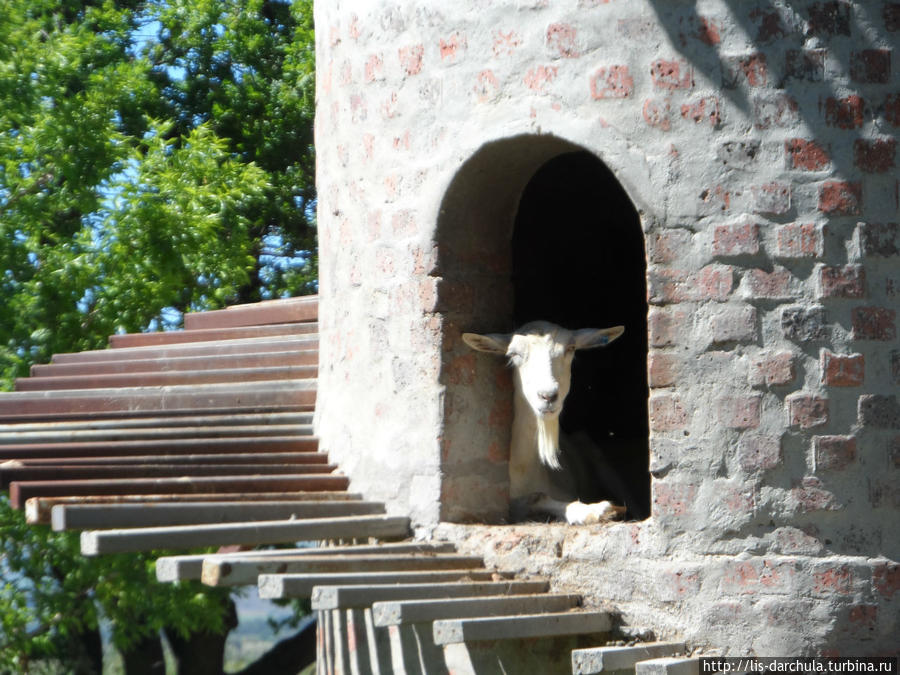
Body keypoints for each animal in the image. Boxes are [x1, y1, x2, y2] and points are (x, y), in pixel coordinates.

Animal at [464, 324, 624, 528]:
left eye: (570, 348)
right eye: (513, 353)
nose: (548, 396)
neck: (523, 469)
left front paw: (599, 510)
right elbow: (534, 499)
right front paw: (596, 510)